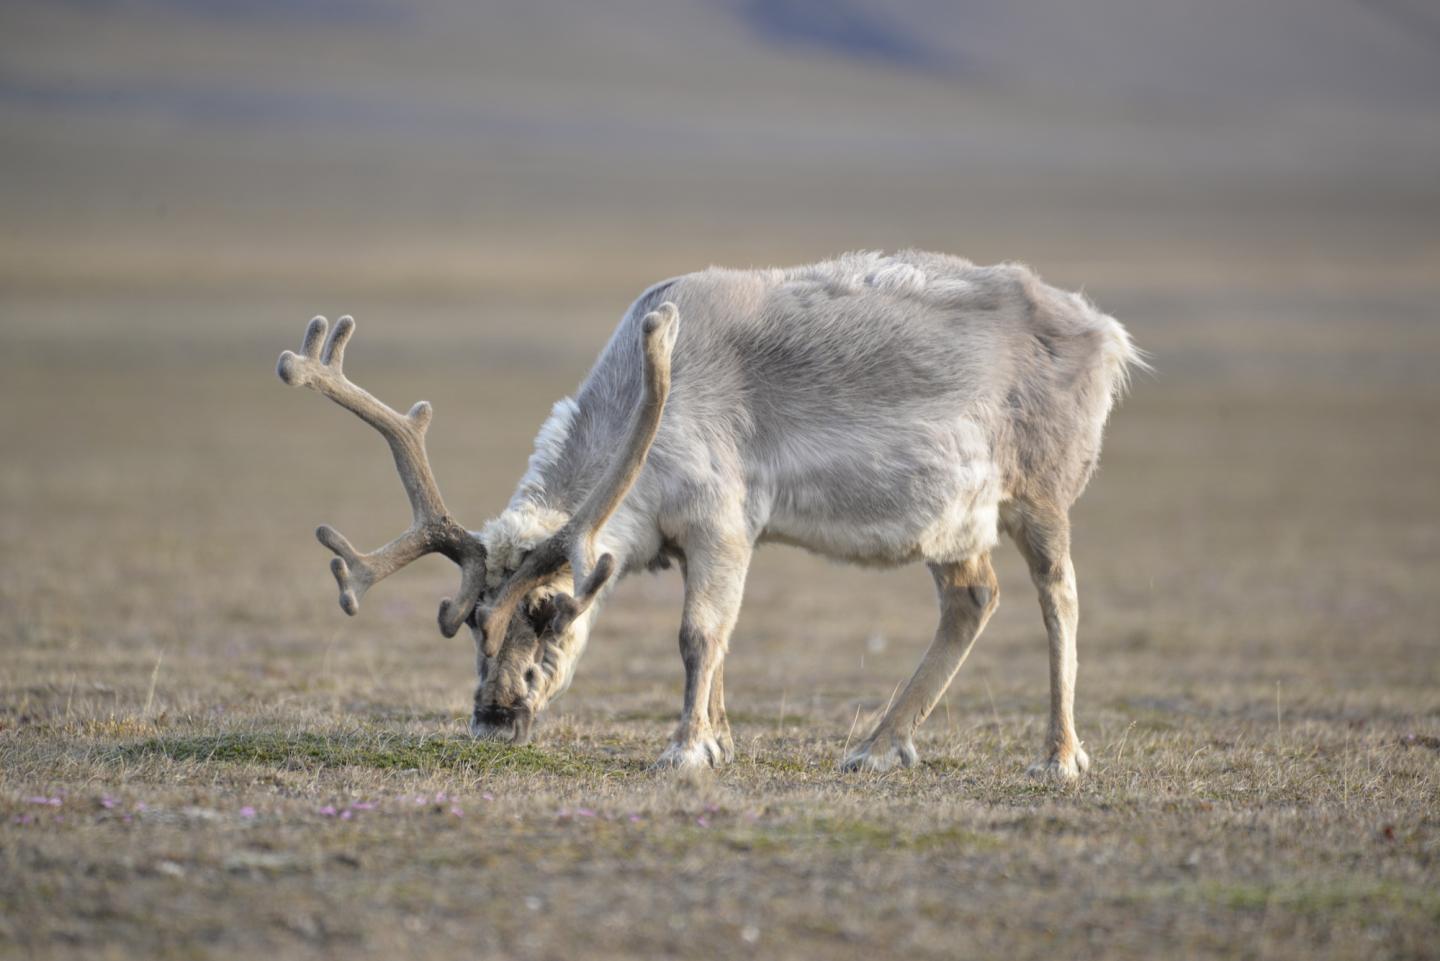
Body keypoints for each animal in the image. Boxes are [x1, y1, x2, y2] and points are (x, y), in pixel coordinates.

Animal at [276, 250, 1144, 779]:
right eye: (465, 621)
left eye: (551, 613)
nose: (495, 713)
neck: (644, 418)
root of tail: (1106, 333)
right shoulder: (708, 540)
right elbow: (721, 641)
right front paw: (721, 737)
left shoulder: (723, 520)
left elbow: (699, 635)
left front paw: (686, 747)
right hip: (952, 523)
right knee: (973, 598)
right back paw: (877, 744)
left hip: (1040, 493)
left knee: (1059, 599)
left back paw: (1059, 755)